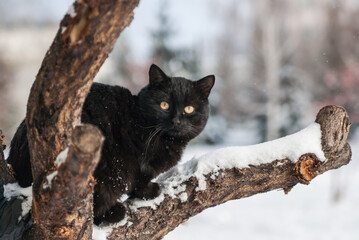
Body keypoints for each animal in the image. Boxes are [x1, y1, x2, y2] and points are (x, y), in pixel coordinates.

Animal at [7, 63, 215, 223]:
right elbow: (141, 178)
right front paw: (149, 191)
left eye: (189, 109)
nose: (177, 121)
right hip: (109, 172)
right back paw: (115, 212)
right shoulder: (139, 161)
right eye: (164, 105)